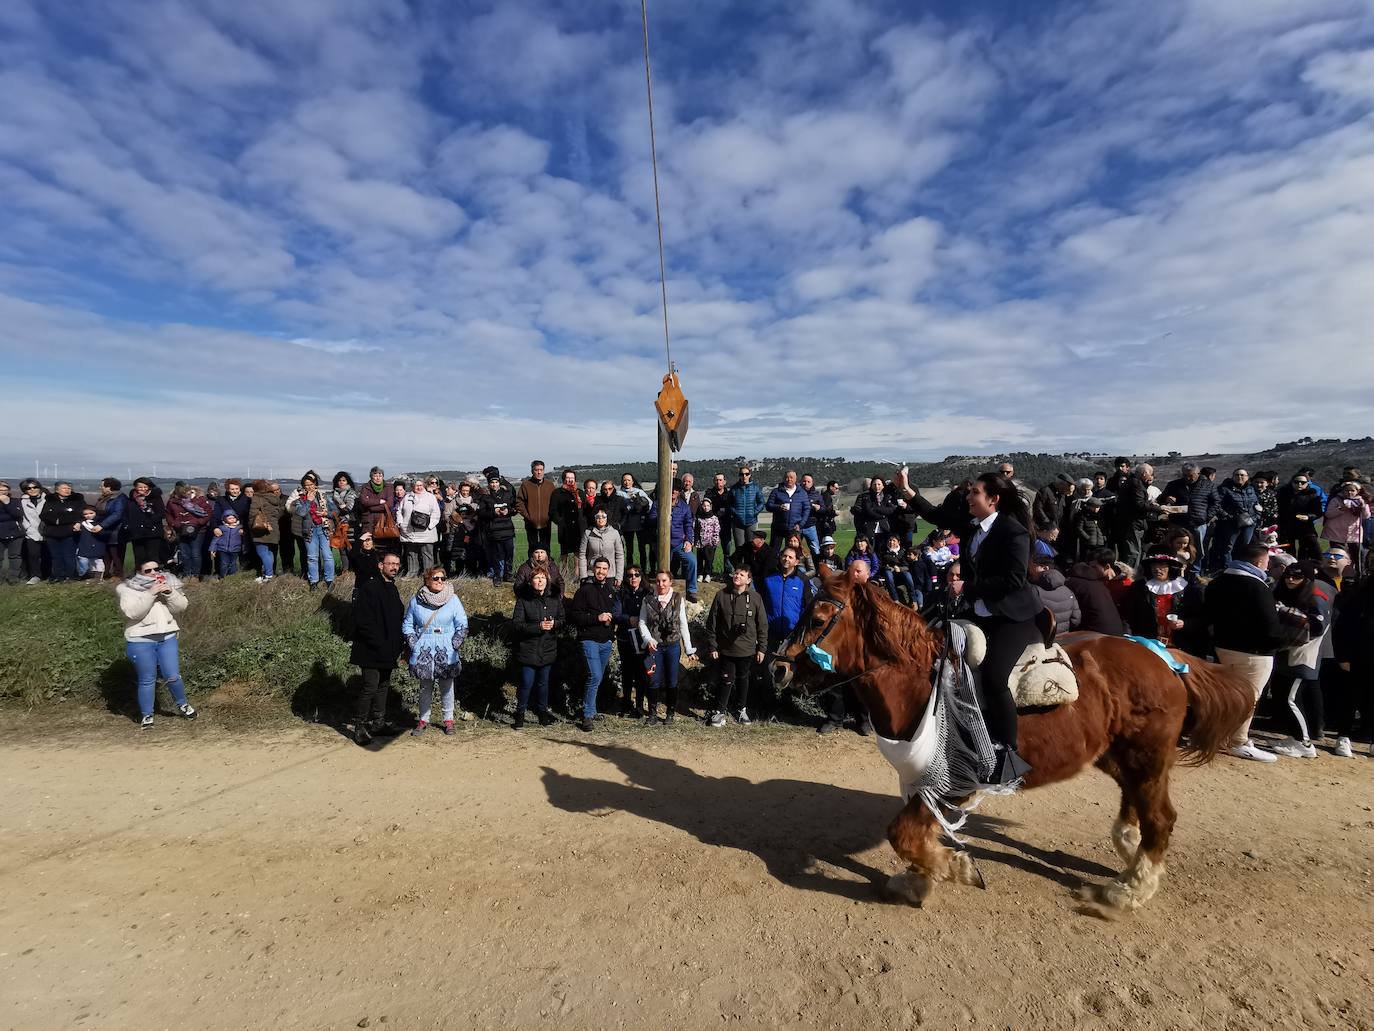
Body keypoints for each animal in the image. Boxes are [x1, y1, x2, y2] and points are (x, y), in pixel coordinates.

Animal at [774, 566, 1258, 912]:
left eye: (820, 617)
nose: (777, 667)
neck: (919, 682)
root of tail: (1163, 654)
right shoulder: (926, 780)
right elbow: (914, 833)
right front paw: (919, 879)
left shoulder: (952, 781)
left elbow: (904, 833)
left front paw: (954, 868)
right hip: (1118, 754)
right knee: (1135, 804)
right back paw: (1128, 852)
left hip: (1147, 755)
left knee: (1160, 818)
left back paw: (1126, 892)